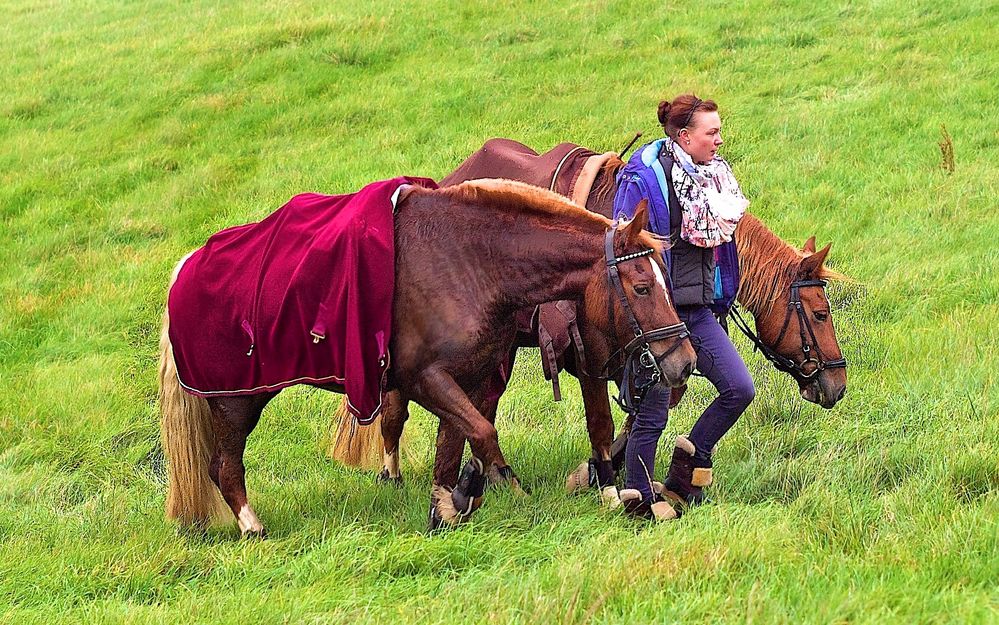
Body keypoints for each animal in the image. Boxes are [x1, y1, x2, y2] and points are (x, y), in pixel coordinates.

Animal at [160, 177, 700, 536]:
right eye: (642, 286)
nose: (684, 361)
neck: (472, 262)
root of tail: (185, 268)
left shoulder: (470, 376)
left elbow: (456, 444)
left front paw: (447, 503)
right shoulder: (425, 379)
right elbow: (482, 434)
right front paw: (491, 491)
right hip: (237, 400)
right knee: (224, 467)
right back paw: (252, 527)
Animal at [332, 141, 848, 508]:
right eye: (820, 313)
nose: (837, 383)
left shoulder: (651, 350)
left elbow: (651, 406)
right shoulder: (591, 357)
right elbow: (603, 420)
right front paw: (603, 480)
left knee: (480, 407)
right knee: (398, 408)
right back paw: (393, 473)